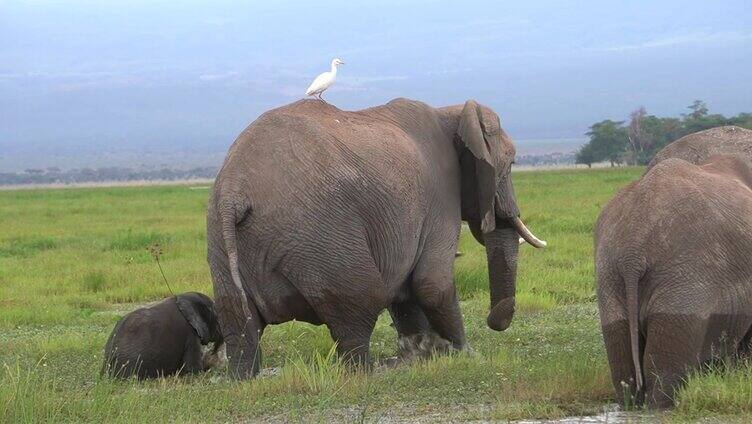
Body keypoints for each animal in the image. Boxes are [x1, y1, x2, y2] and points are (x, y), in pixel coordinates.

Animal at [206, 97, 548, 378]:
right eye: (511, 164)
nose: (494, 320)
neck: (450, 111)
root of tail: (235, 190)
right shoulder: (441, 196)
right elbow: (432, 284)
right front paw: (467, 356)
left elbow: (405, 290)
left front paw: (421, 356)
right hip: (321, 235)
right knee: (359, 304)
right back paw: (366, 373)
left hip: (221, 236)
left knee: (239, 323)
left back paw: (242, 379)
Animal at [596, 153, 752, 408]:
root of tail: (633, 247)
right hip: (684, 279)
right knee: (663, 372)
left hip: (609, 271)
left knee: (622, 365)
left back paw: (631, 404)